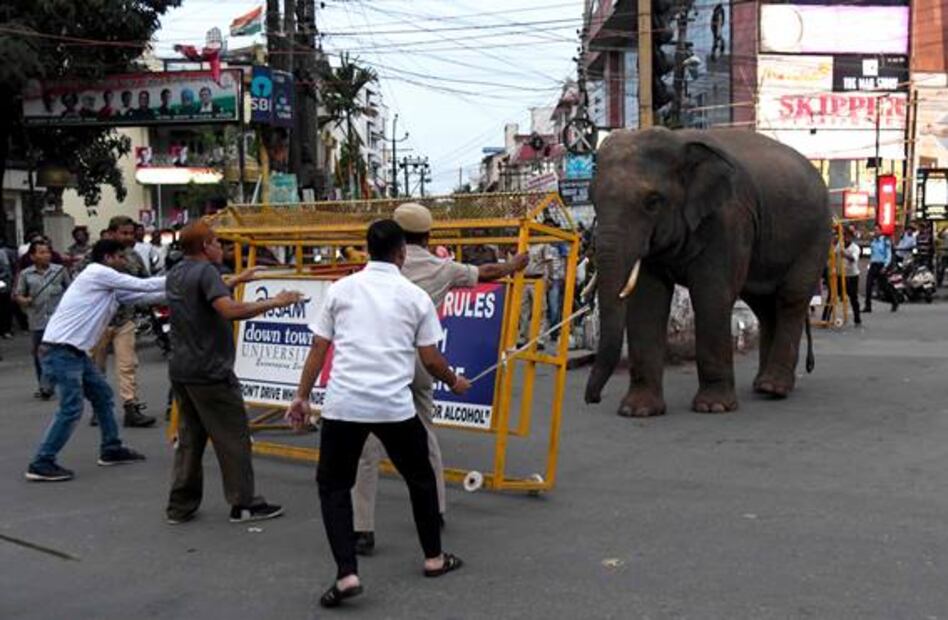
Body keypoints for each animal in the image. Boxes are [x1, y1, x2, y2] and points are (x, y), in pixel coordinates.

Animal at [584, 127, 831, 416]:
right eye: (592, 199)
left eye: (652, 201)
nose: (593, 399)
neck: (679, 141)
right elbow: (647, 300)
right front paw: (637, 411)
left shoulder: (729, 218)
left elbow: (711, 294)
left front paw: (713, 407)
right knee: (764, 306)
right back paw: (763, 386)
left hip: (817, 234)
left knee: (791, 298)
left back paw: (774, 388)